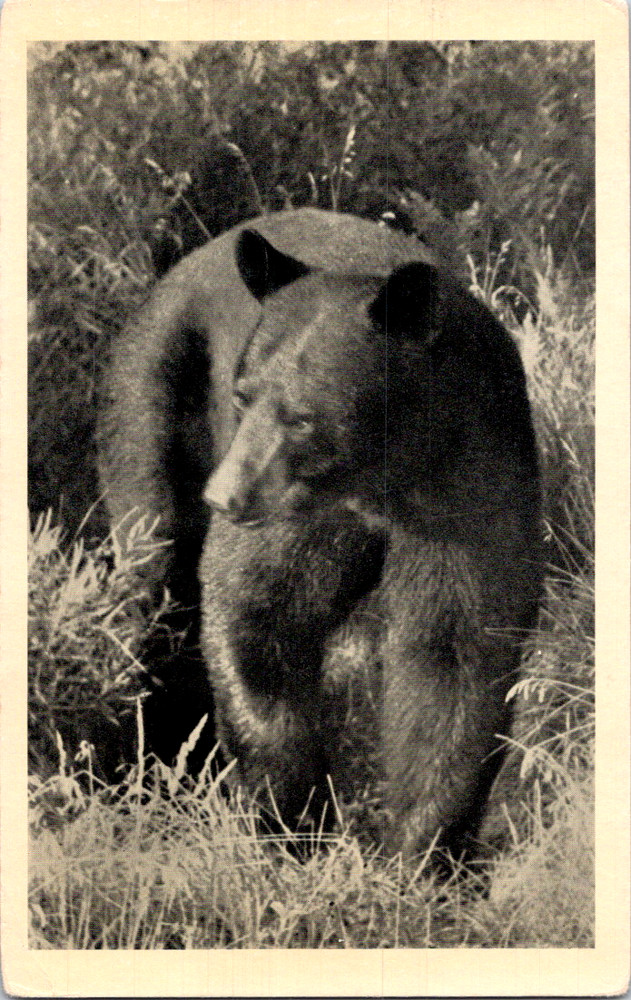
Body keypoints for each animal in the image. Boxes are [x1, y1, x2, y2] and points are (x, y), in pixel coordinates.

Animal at [98, 208, 541, 860]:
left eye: (304, 417)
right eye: (242, 395)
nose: (224, 496)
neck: (382, 480)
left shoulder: (471, 486)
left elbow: (455, 652)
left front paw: (420, 852)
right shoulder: (299, 512)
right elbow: (256, 609)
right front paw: (294, 822)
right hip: (152, 393)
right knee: (158, 578)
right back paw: (157, 766)